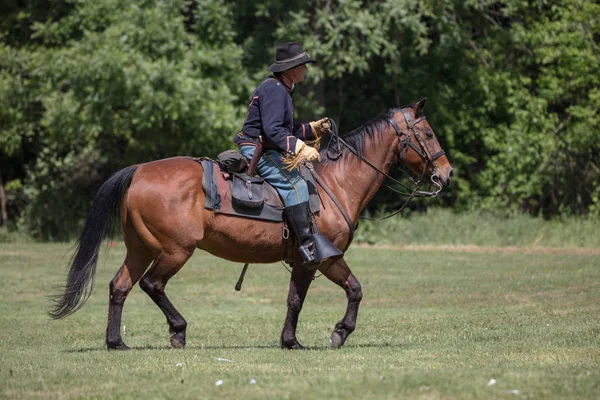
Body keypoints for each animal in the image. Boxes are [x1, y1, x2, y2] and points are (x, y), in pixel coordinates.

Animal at [51, 99, 452, 350]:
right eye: (428, 134)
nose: (446, 174)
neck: (336, 181)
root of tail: (139, 171)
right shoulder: (319, 258)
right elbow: (318, 296)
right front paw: (321, 336)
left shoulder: (321, 260)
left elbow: (337, 292)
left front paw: (307, 337)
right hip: (174, 251)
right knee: (152, 285)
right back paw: (178, 331)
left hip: (140, 248)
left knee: (119, 287)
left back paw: (116, 342)